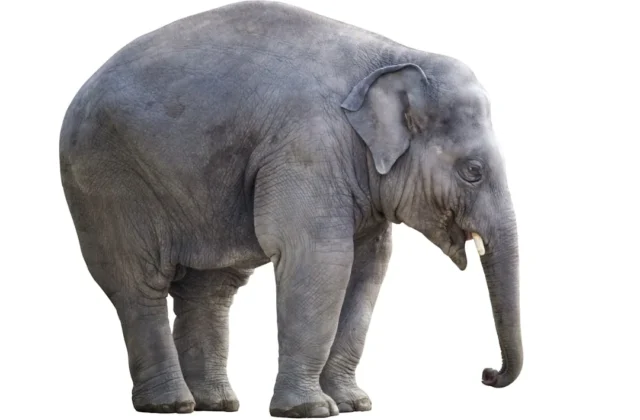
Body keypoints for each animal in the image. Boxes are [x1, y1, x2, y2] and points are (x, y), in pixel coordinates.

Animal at [59, 1, 522, 417]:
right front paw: (312, 410)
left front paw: (354, 405)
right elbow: (321, 259)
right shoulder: (307, 146)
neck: (396, 55)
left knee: (211, 288)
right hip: (107, 180)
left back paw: (215, 404)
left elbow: (369, 268)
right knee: (139, 284)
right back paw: (170, 405)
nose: (487, 374)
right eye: (473, 171)